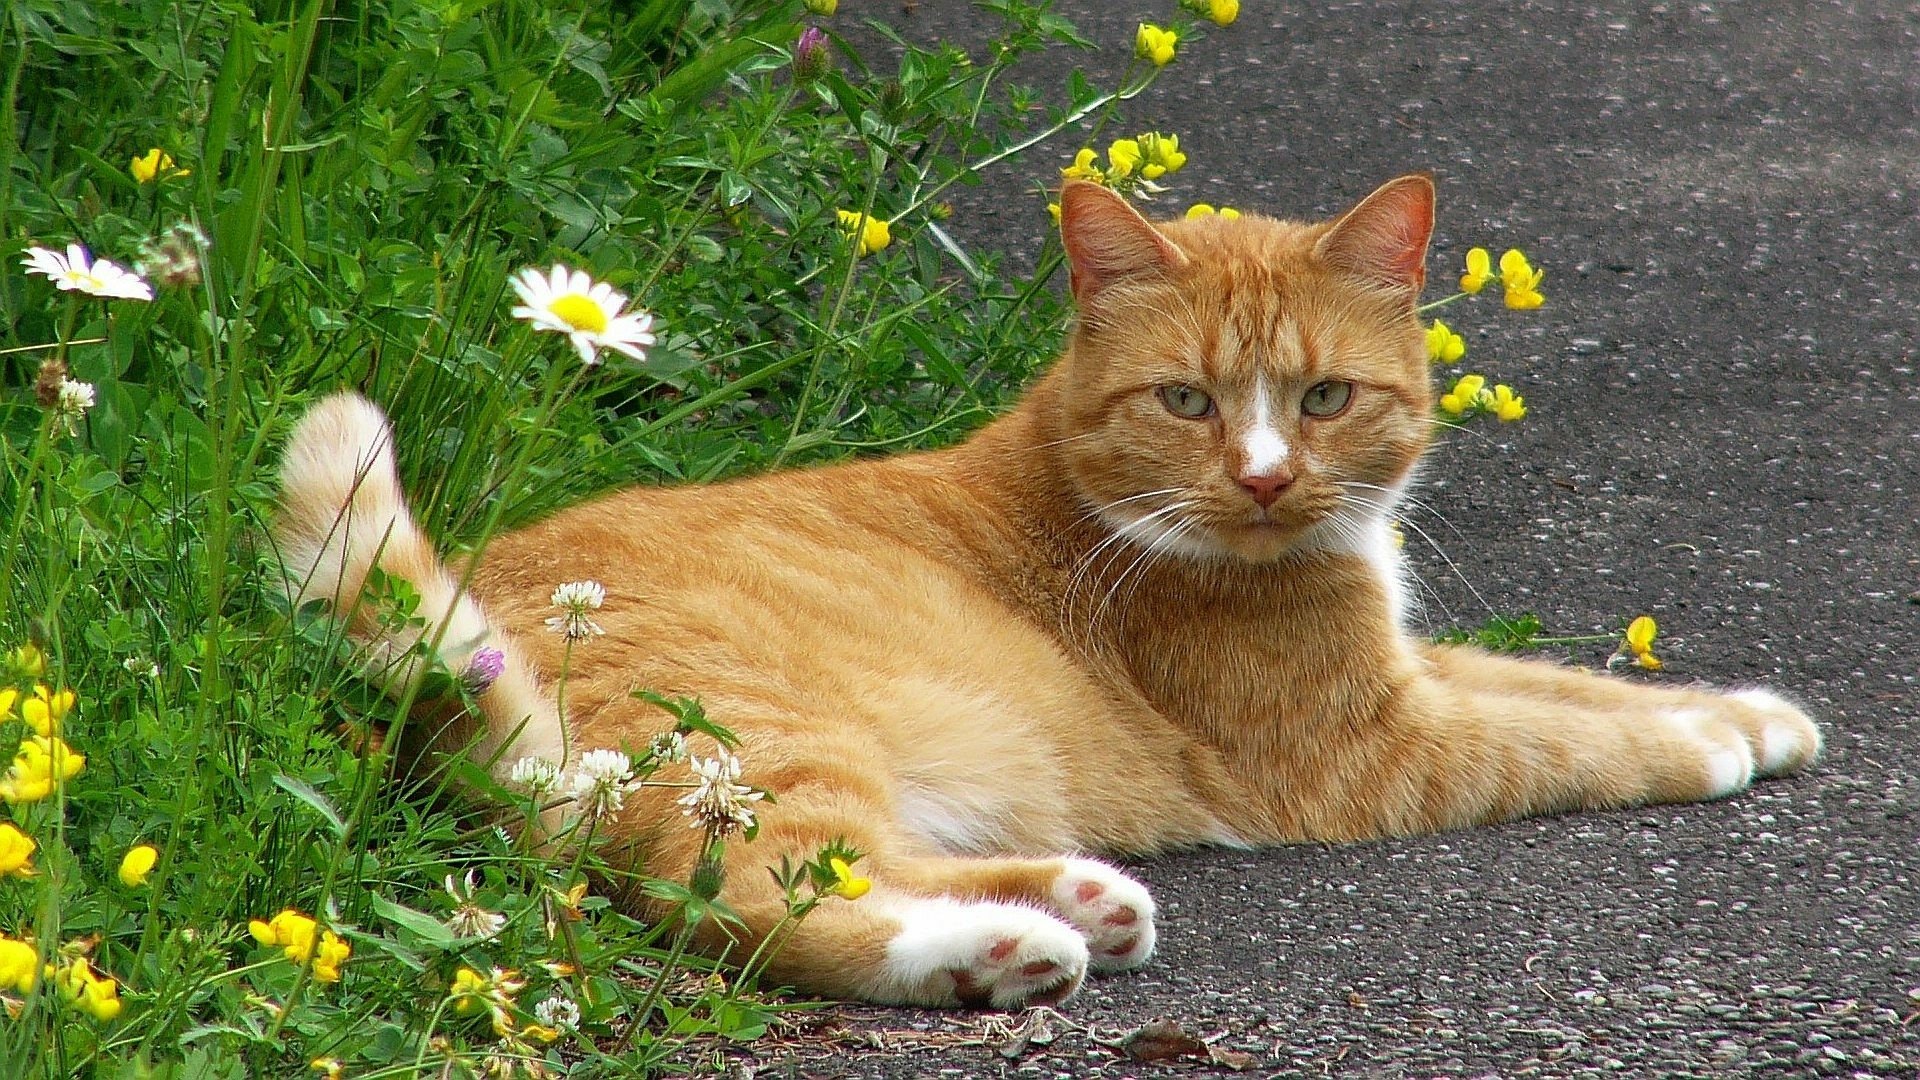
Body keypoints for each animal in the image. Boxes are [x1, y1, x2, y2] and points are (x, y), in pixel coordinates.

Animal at [270, 176, 1812, 1006]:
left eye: (1323, 397)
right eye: (1187, 401)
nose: (1265, 479)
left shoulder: (1410, 671)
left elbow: (1560, 679)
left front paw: (1754, 710)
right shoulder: (1365, 746)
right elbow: (1563, 735)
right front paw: (1708, 742)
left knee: (849, 857)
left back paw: (1078, 898)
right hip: (755, 740)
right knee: (756, 898)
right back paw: (996, 953)